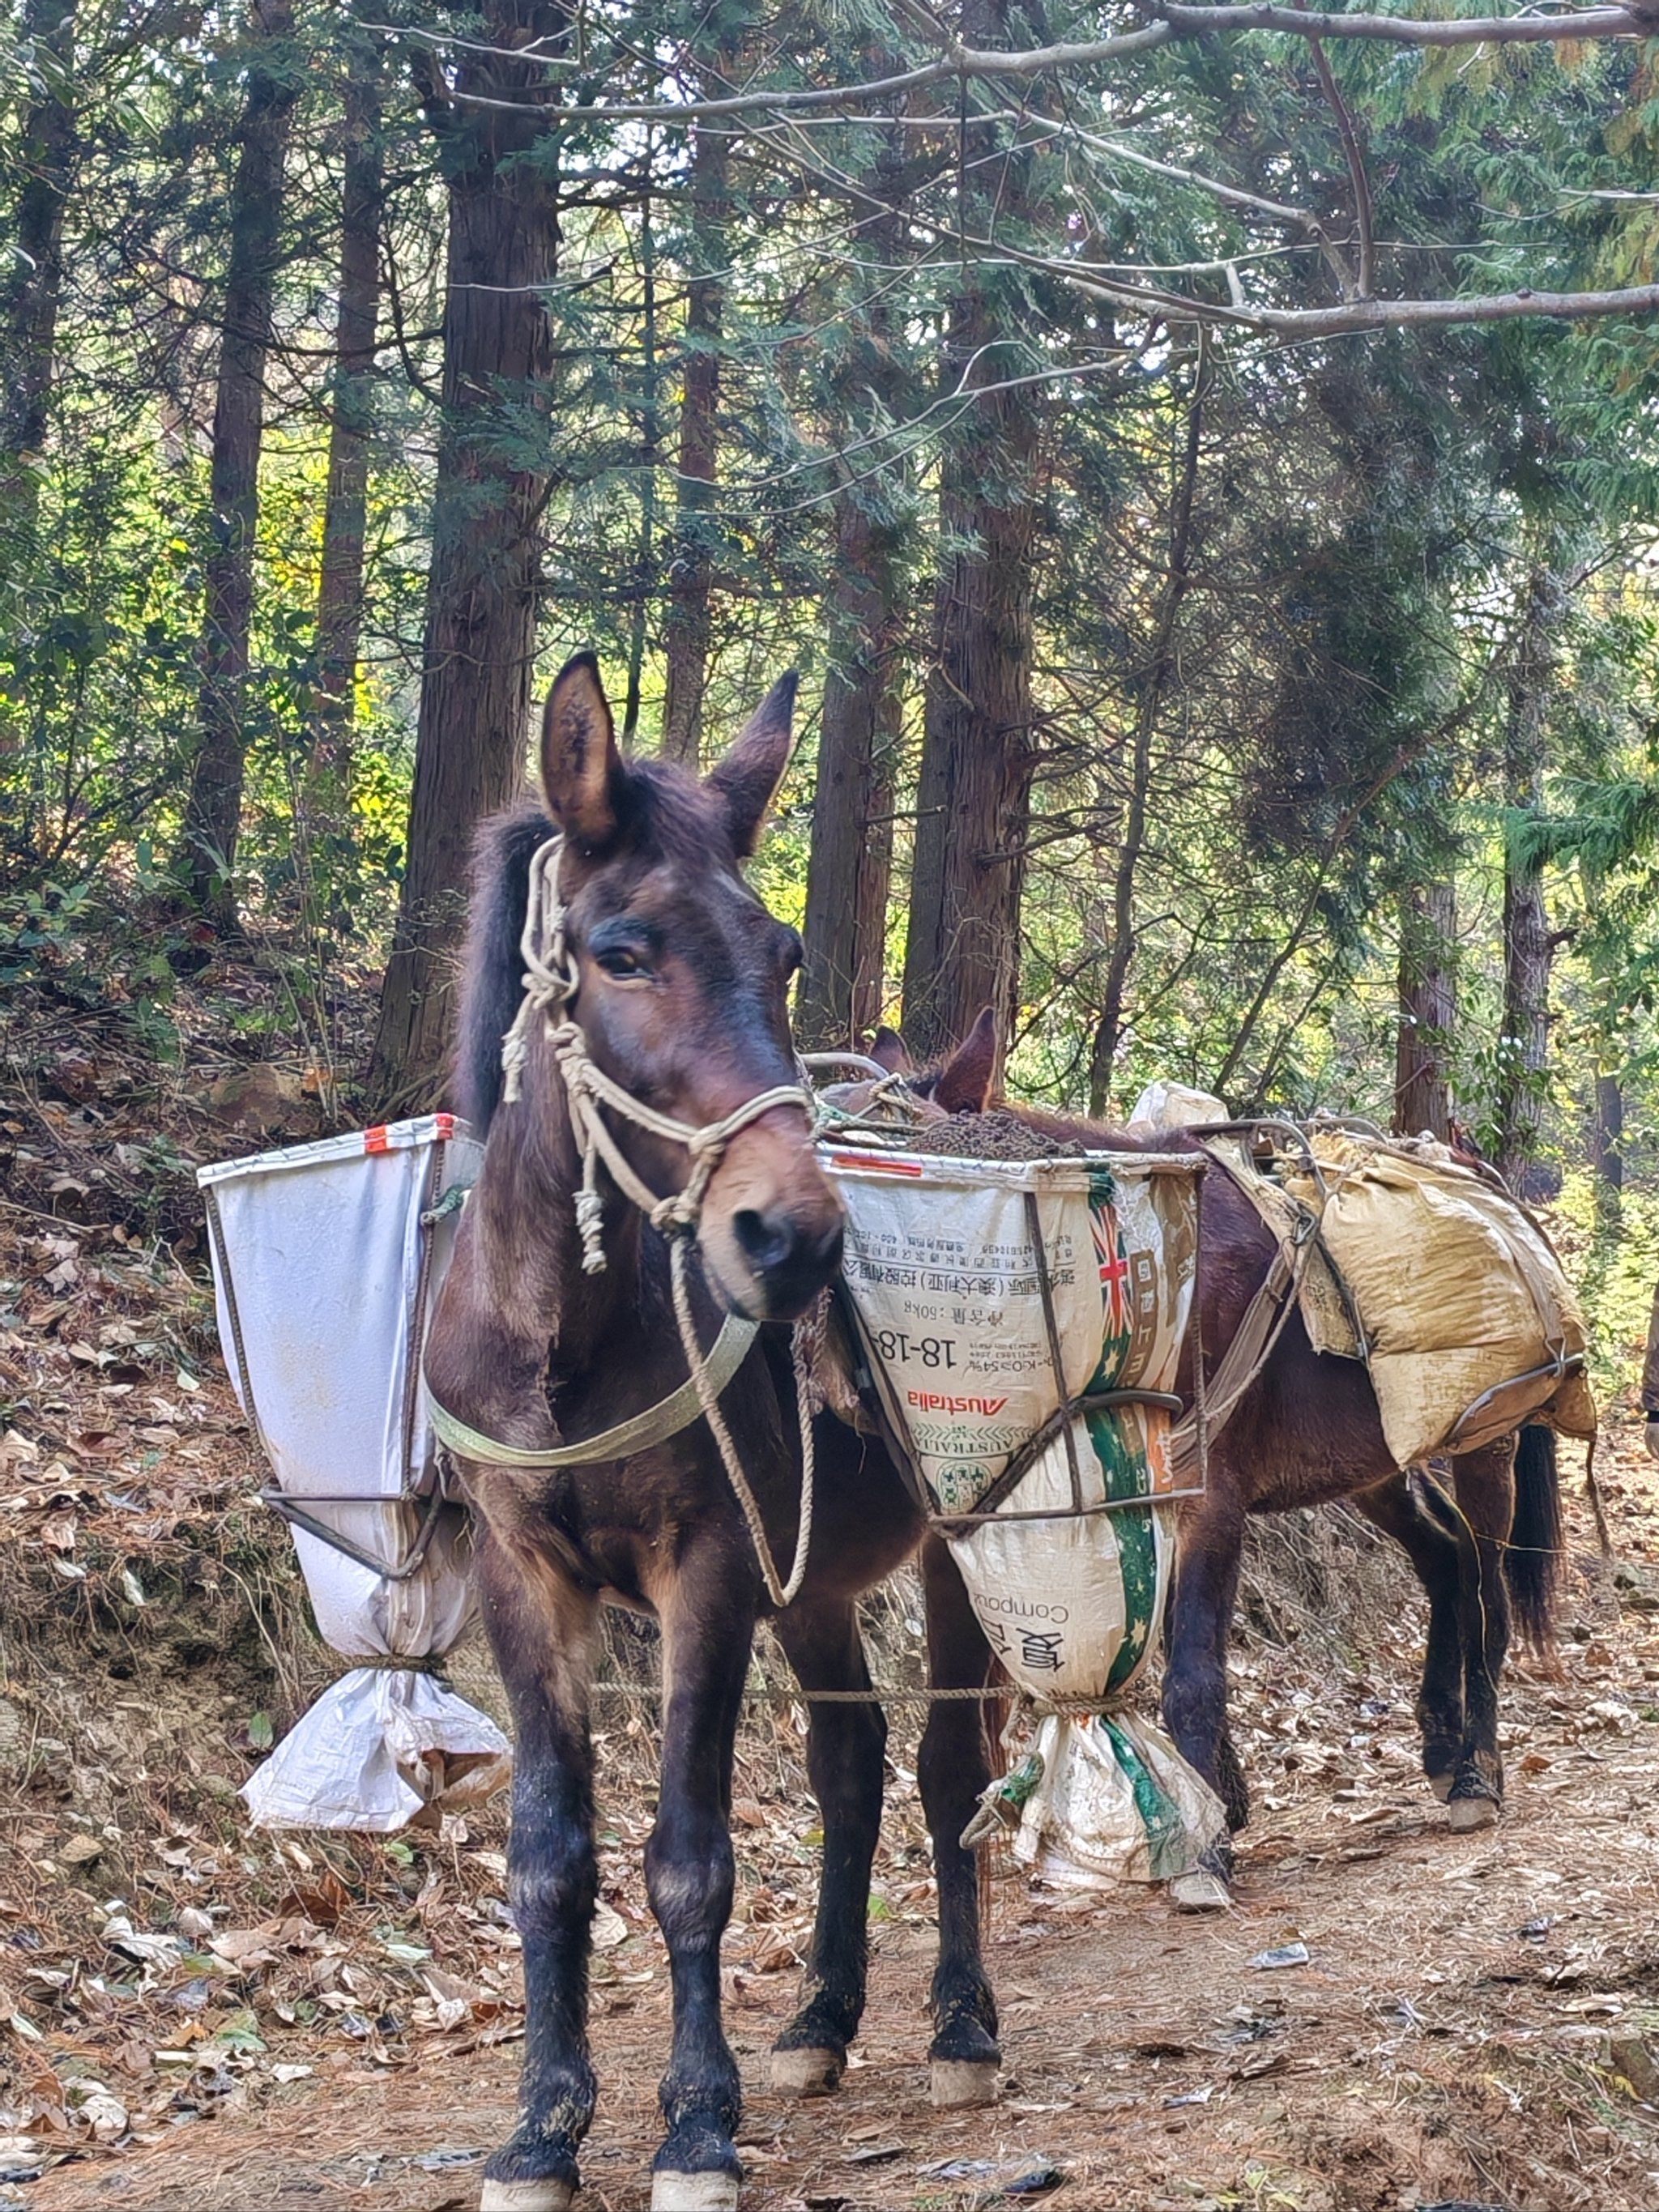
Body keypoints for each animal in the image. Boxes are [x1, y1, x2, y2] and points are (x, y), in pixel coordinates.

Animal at [424, 656, 1003, 2212]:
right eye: (620, 951)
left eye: (785, 953)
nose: (794, 1238)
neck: (564, 1342)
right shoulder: (522, 1575)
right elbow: (548, 1854)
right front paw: (543, 2124)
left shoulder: (707, 1573)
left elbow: (688, 1853)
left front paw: (693, 2122)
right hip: (812, 1576)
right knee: (853, 1764)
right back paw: (821, 2016)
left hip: (953, 1540)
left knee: (949, 1767)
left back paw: (960, 2024)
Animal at [858, 1010, 1564, 1866]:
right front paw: (1220, 1799)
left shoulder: (1211, 1500)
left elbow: (1192, 1671)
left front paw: (1204, 1841)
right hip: (1377, 1462)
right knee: (1446, 1557)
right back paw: (1438, 1745)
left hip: (1485, 1439)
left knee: (1489, 1589)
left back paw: (1476, 1773)